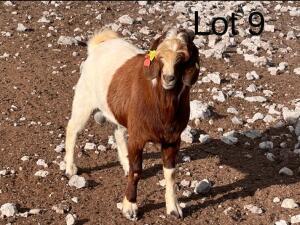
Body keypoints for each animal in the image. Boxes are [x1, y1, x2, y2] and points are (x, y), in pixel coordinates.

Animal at [63, 27, 199, 220]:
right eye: (159, 57)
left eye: (182, 59)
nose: (168, 78)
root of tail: (98, 44)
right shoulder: (137, 136)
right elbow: (136, 171)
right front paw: (130, 207)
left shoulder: (173, 139)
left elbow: (170, 173)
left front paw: (174, 208)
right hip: (84, 99)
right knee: (72, 129)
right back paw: (70, 168)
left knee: (118, 132)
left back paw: (125, 164)